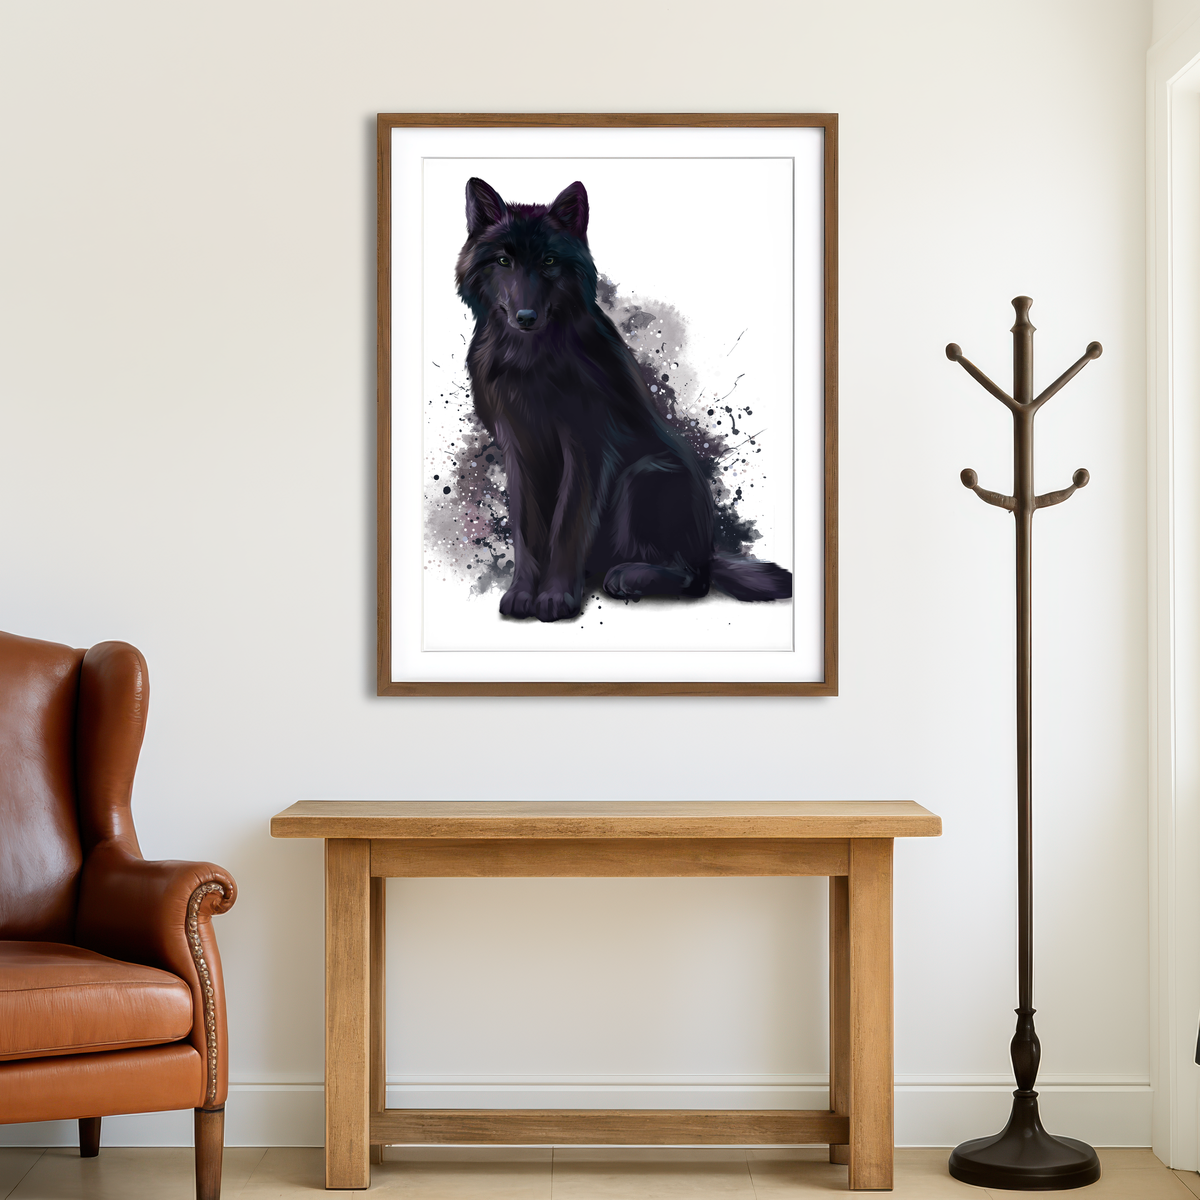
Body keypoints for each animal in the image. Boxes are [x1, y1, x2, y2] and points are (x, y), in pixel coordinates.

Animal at [455, 177, 793, 623]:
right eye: (503, 261)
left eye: (548, 261)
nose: (526, 317)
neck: (528, 359)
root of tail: (710, 552)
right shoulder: (518, 448)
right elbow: (526, 528)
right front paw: (522, 594)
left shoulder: (587, 446)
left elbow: (567, 526)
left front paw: (555, 598)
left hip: (644, 475)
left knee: (695, 580)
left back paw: (630, 576)